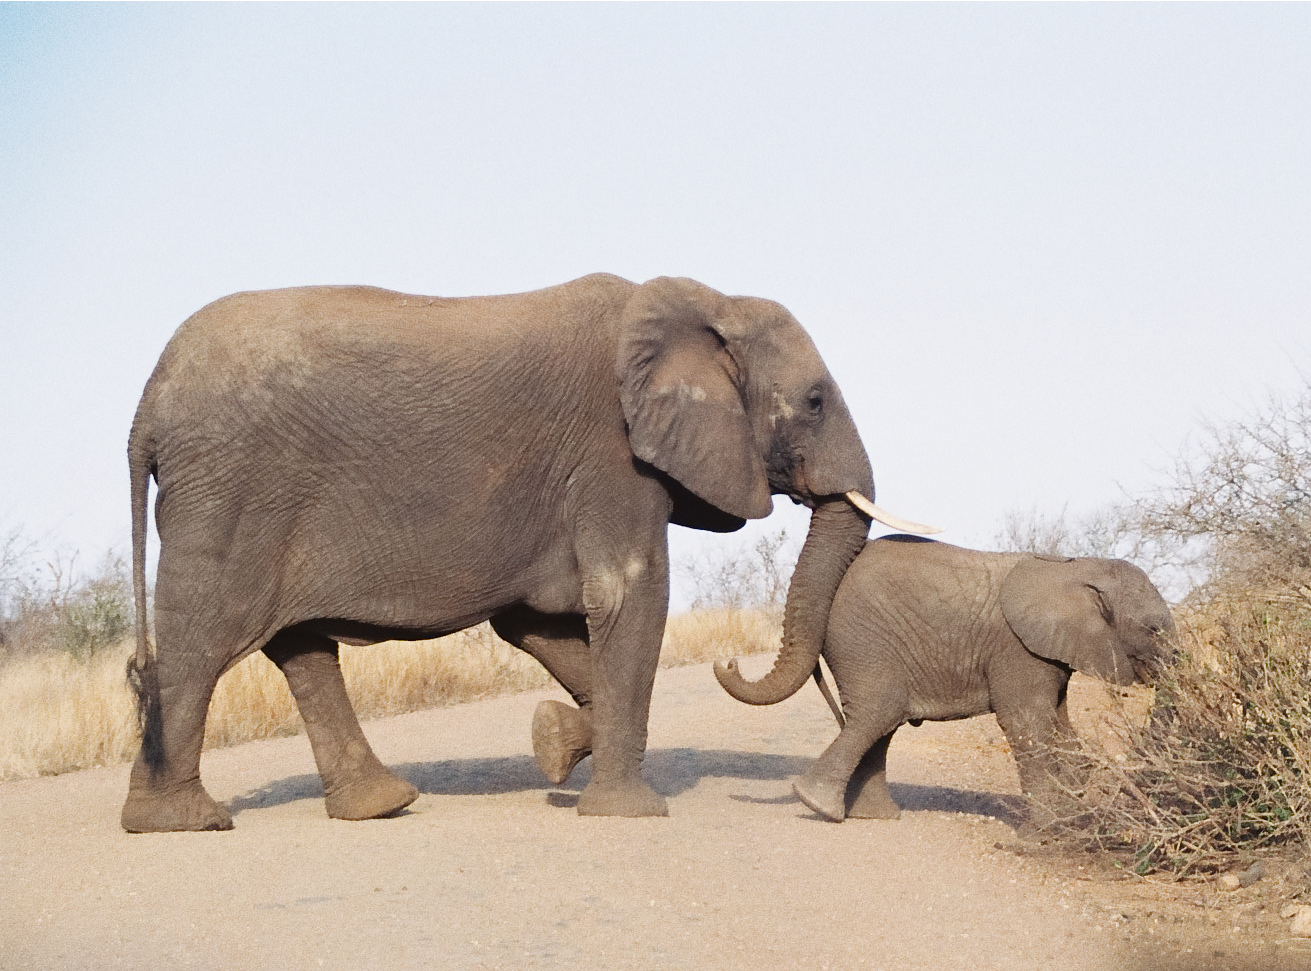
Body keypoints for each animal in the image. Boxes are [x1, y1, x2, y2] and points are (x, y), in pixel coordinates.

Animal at [123, 275, 922, 833]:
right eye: (814, 402)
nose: (728, 660)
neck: (704, 302)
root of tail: (145, 408)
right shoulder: (613, 458)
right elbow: (630, 596)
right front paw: (627, 812)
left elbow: (538, 624)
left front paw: (555, 743)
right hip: (230, 493)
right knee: (204, 642)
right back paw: (185, 822)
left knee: (300, 648)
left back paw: (378, 806)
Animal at [718, 534, 1179, 822]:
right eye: (1153, 629)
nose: (727, 662)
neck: (1077, 566)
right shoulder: (1015, 647)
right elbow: (1027, 721)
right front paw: (1049, 831)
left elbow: (1059, 721)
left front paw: (1073, 810)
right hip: (862, 638)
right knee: (878, 713)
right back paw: (817, 806)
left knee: (879, 721)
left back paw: (870, 816)